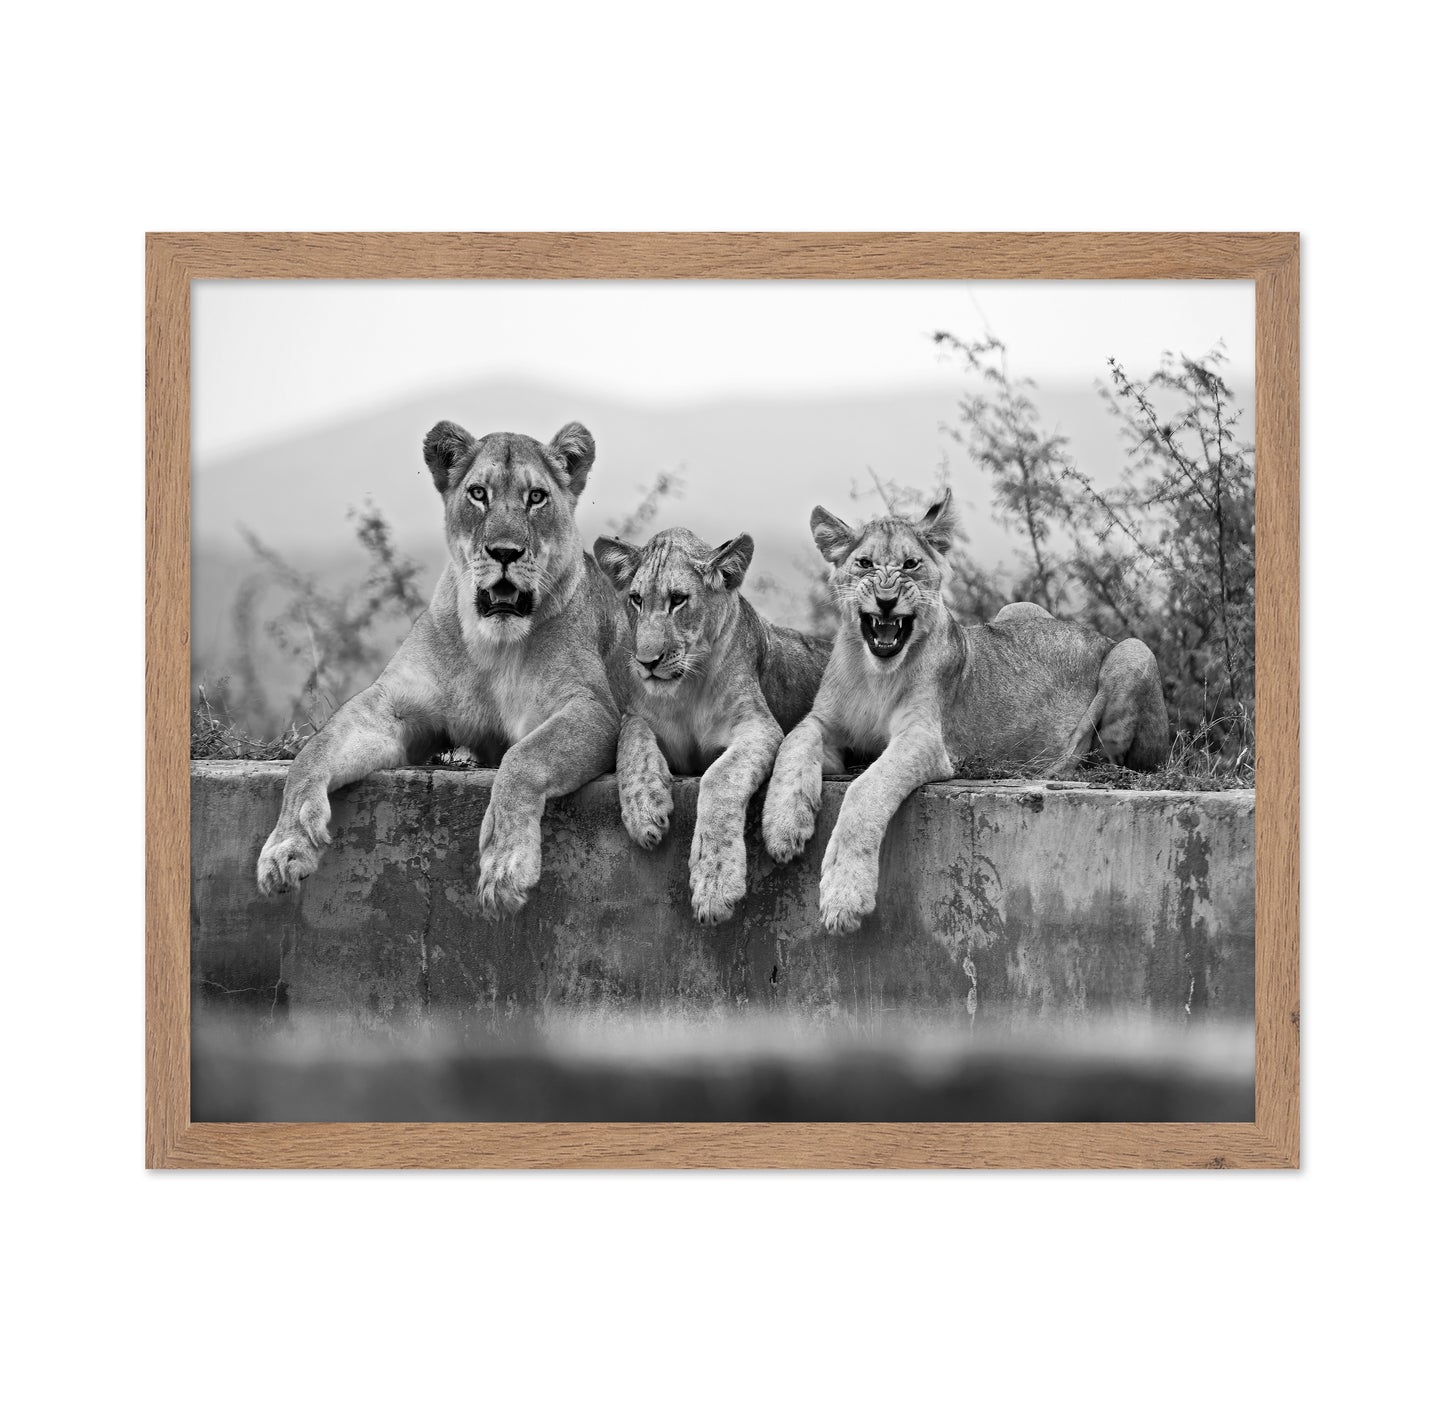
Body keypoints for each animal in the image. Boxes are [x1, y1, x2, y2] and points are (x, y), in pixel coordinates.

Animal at [257, 419, 629, 917]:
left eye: (536, 497)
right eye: (478, 494)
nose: (504, 552)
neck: (492, 646)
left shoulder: (593, 708)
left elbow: (522, 758)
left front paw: (505, 864)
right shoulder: (392, 704)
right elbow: (312, 752)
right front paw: (287, 844)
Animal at [593, 527, 831, 925]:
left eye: (677, 600)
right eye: (637, 600)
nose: (646, 662)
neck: (686, 688)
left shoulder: (759, 726)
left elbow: (719, 777)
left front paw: (715, 884)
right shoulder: (641, 716)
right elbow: (631, 737)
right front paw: (644, 808)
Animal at [762, 490, 1169, 934]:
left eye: (910, 564)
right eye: (865, 564)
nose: (886, 602)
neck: (875, 674)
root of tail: (1098, 634)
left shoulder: (926, 739)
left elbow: (865, 789)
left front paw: (844, 897)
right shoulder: (824, 724)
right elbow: (793, 743)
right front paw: (783, 828)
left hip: (1134, 652)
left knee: (1114, 763)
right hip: (1018, 608)